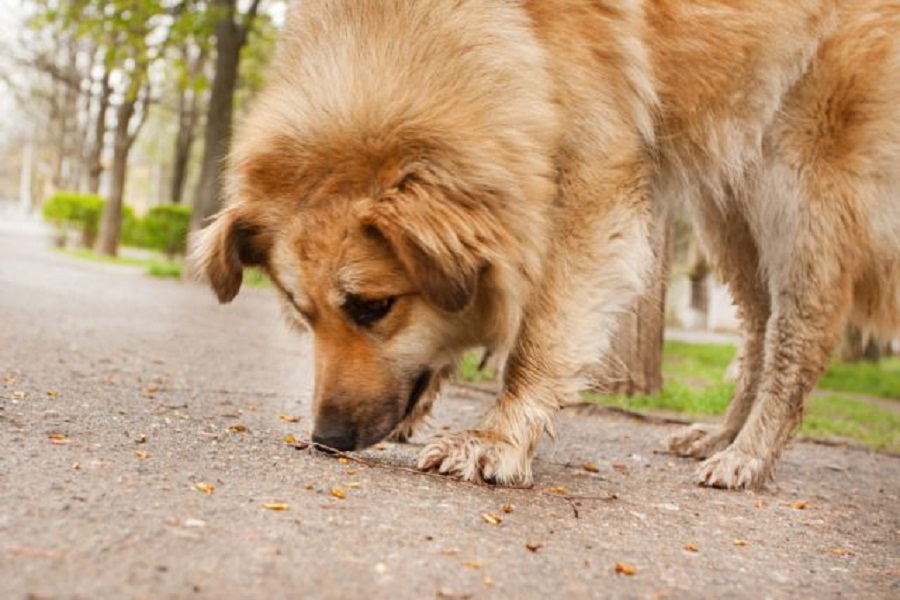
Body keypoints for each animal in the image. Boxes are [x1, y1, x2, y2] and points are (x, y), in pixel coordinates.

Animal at [192, 0, 900, 488]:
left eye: (373, 307)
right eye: (302, 313)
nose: (328, 439)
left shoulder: (595, 184)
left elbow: (539, 333)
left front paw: (496, 439)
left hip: (799, 180)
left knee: (799, 338)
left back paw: (749, 456)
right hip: (730, 202)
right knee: (757, 330)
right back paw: (723, 435)